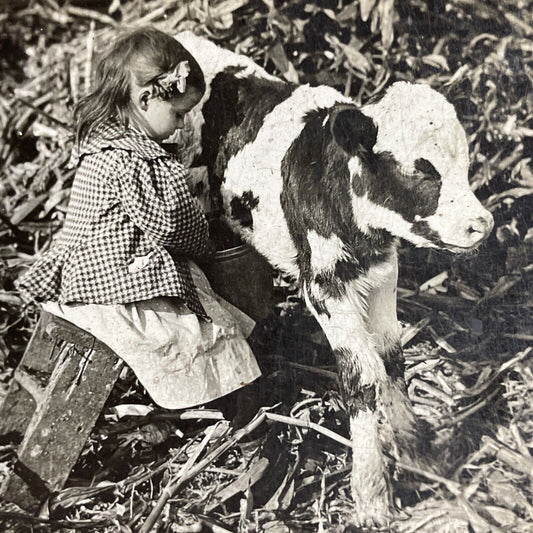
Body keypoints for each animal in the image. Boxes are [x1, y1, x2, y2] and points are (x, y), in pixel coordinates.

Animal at [175, 32, 494, 524]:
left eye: (464, 165)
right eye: (419, 169)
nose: (483, 224)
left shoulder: (382, 273)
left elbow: (392, 358)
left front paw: (416, 451)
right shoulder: (324, 286)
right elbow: (361, 376)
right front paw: (371, 496)